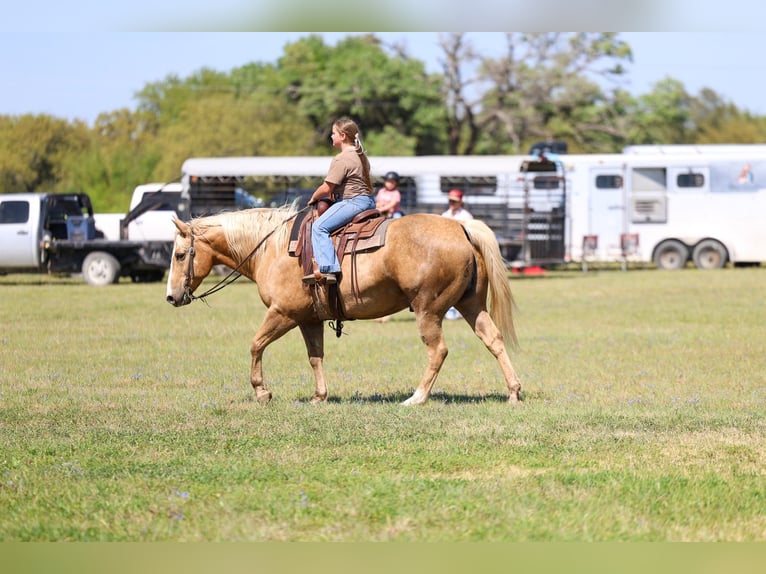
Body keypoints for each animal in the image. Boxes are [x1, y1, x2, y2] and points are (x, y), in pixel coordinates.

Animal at [165, 205, 522, 405]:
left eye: (180, 255)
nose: (171, 296)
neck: (274, 248)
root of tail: (461, 228)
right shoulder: (308, 319)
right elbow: (315, 356)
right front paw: (319, 397)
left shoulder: (282, 313)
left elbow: (255, 345)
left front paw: (262, 393)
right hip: (470, 304)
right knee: (493, 339)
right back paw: (514, 392)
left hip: (428, 310)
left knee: (438, 351)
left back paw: (417, 398)